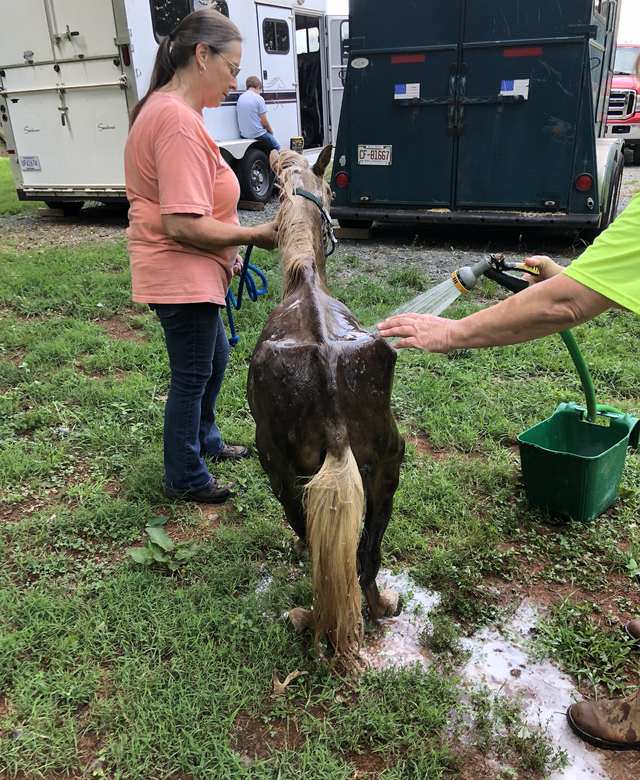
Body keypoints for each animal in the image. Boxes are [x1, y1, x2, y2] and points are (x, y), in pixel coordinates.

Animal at [246, 145, 404, 664]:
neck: (305, 279)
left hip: (277, 466)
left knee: (313, 547)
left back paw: (306, 618)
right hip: (388, 466)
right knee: (366, 557)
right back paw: (380, 607)